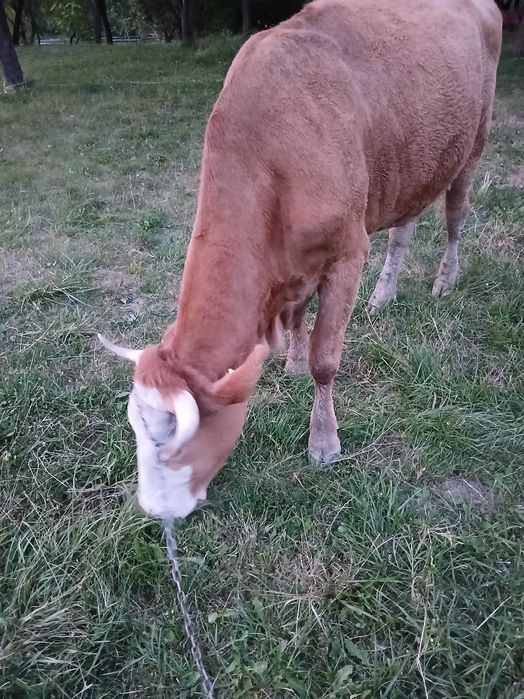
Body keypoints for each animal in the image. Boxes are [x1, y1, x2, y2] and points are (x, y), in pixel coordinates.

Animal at [99, 0, 502, 519]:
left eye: (177, 440)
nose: (152, 509)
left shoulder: (348, 252)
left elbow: (325, 360)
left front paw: (323, 442)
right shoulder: (290, 266)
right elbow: (296, 318)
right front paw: (290, 360)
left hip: (475, 140)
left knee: (455, 216)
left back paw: (445, 281)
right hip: (412, 160)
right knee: (404, 227)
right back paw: (385, 293)